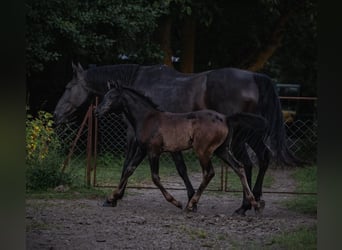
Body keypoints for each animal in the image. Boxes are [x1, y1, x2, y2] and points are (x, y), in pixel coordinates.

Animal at [95, 81, 268, 211]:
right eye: (104, 96)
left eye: (112, 97)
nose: (97, 112)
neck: (148, 118)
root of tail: (226, 118)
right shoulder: (143, 150)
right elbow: (129, 170)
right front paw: (110, 198)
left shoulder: (154, 151)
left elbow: (155, 177)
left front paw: (176, 202)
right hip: (222, 150)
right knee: (239, 167)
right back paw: (253, 203)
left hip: (203, 151)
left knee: (209, 173)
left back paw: (191, 205)